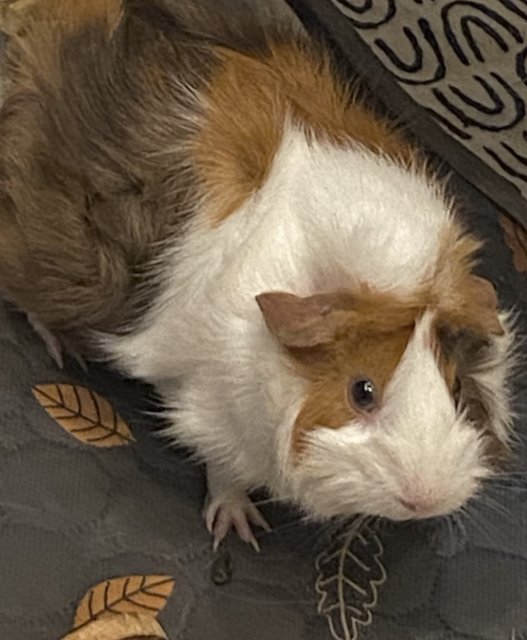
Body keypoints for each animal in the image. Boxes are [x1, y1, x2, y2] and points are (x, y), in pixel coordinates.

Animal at [0, 0, 515, 551]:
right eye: (362, 391)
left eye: (457, 389)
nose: (426, 499)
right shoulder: (212, 410)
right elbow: (225, 469)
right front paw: (240, 529)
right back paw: (63, 349)